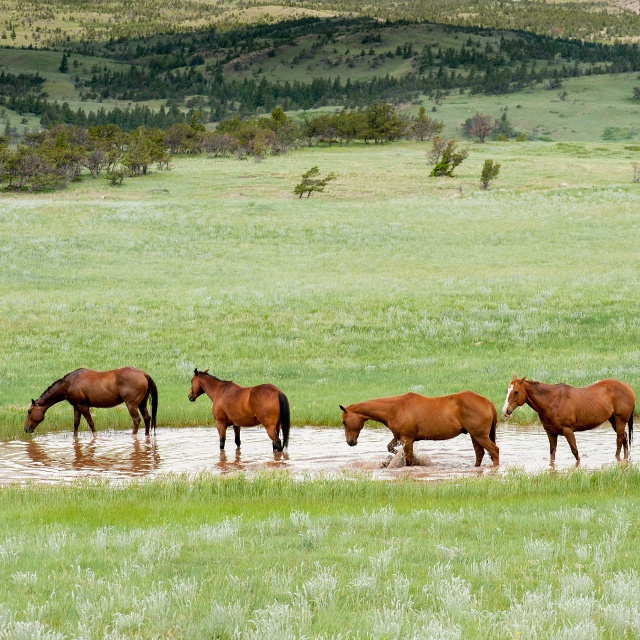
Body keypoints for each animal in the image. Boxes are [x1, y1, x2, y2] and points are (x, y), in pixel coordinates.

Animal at [24, 368, 158, 438]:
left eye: (29, 411)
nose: (26, 429)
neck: (69, 384)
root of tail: (144, 374)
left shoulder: (83, 406)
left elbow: (91, 423)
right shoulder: (76, 406)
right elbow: (76, 424)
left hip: (131, 405)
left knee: (137, 420)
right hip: (142, 404)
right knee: (147, 418)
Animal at [340, 388, 500, 468]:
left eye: (344, 422)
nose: (350, 442)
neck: (394, 409)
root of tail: (487, 402)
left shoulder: (407, 439)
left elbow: (409, 460)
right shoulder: (398, 437)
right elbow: (391, 448)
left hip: (480, 436)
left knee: (494, 451)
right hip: (475, 436)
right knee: (480, 453)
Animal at [504, 376, 636, 464]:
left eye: (516, 392)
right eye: (507, 391)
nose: (506, 411)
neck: (551, 401)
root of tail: (628, 387)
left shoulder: (568, 431)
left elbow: (575, 452)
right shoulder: (551, 433)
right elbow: (552, 454)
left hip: (620, 420)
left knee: (619, 441)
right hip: (614, 420)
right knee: (624, 438)